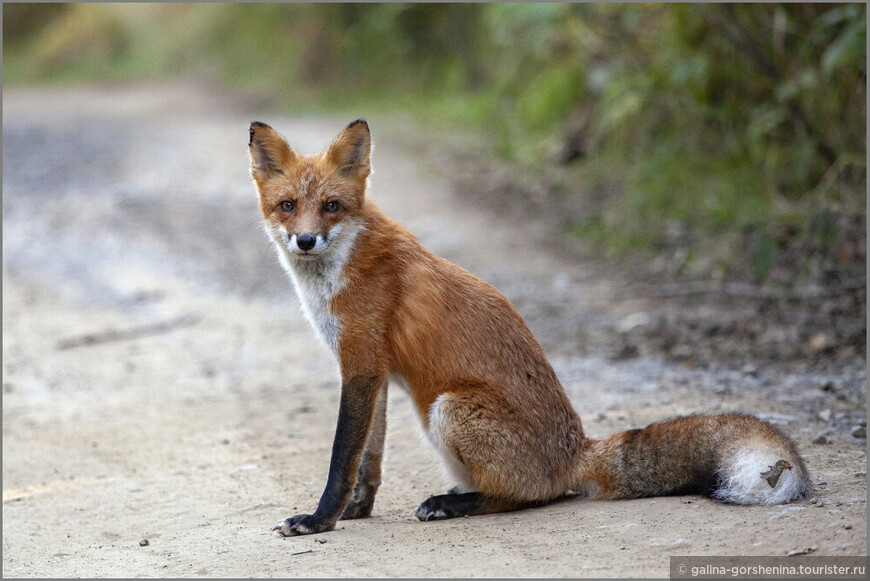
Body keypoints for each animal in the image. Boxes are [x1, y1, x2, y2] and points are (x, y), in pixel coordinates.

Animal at [249, 120, 816, 536]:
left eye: (331, 207)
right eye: (287, 206)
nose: (305, 241)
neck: (341, 268)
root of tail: (576, 448)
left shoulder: (362, 365)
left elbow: (342, 456)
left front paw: (321, 519)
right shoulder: (375, 371)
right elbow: (369, 459)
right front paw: (356, 511)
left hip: (449, 407)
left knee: (531, 496)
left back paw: (455, 504)